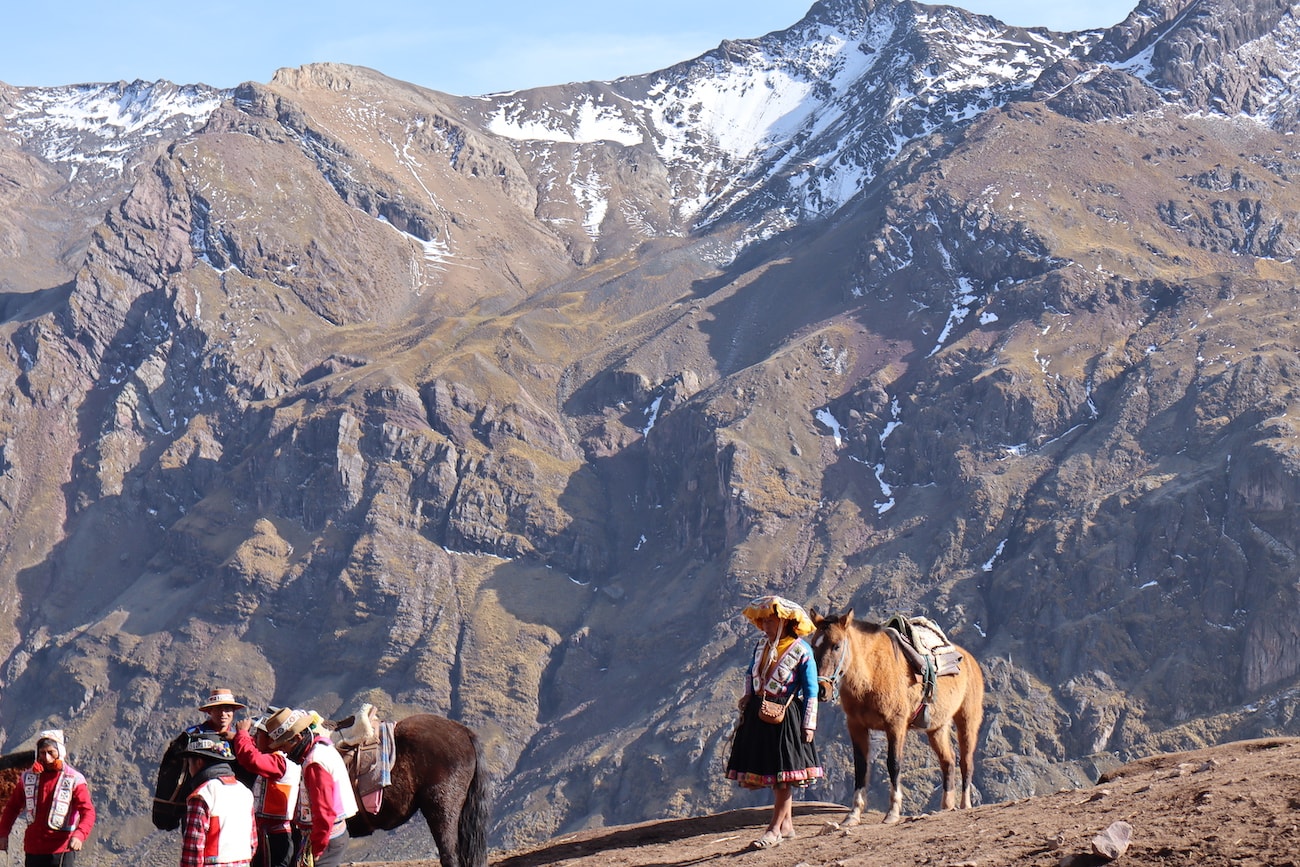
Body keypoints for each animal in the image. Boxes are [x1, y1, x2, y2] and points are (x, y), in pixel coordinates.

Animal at [811, 610, 982, 826]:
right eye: (813, 644)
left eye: (837, 646)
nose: (821, 690)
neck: (872, 674)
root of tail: (968, 658)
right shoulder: (856, 726)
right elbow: (861, 767)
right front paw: (853, 815)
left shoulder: (895, 725)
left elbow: (893, 764)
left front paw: (892, 813)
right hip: (937, 728)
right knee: (948, 761)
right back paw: (946, 806)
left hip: (967, 721)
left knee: (966, 762)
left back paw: (965, 804)